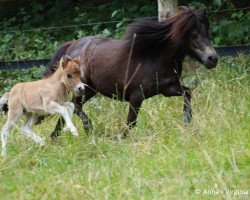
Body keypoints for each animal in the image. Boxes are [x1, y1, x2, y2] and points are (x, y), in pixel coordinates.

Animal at [42, 6, 217, 138]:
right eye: (193, 34)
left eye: (207, 31)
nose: (212, 58)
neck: (154, 57)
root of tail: (72, 46)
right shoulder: (137, 95)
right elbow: (131, 122)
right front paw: (119, 138)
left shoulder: (167, 89)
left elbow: (187, 92)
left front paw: (186, 120)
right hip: (82, 88)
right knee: (75, 106)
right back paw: (87, 127)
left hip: (90, 90)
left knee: (69, 108)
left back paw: (54, 137)